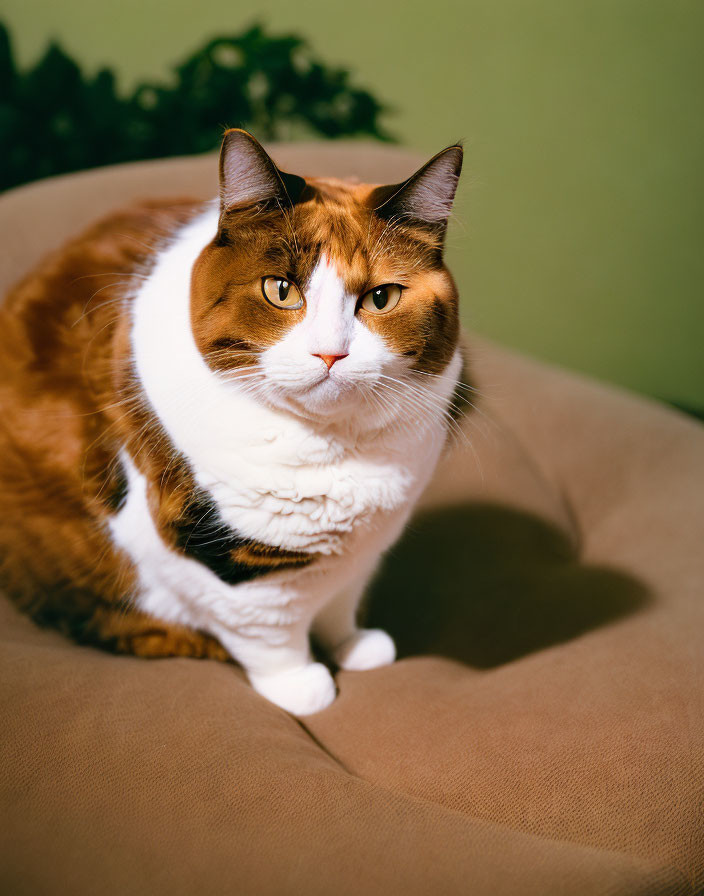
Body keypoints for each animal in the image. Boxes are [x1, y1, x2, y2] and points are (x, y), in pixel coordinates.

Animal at [0, 128, 464, 712]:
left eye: (381, 297)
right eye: (281, 290)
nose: (330, 353)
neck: (336, 450)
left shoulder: (368, 546)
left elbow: (342, 599)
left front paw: (352, 643)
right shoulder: (206, 556)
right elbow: (266, 629)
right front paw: (303, 684)